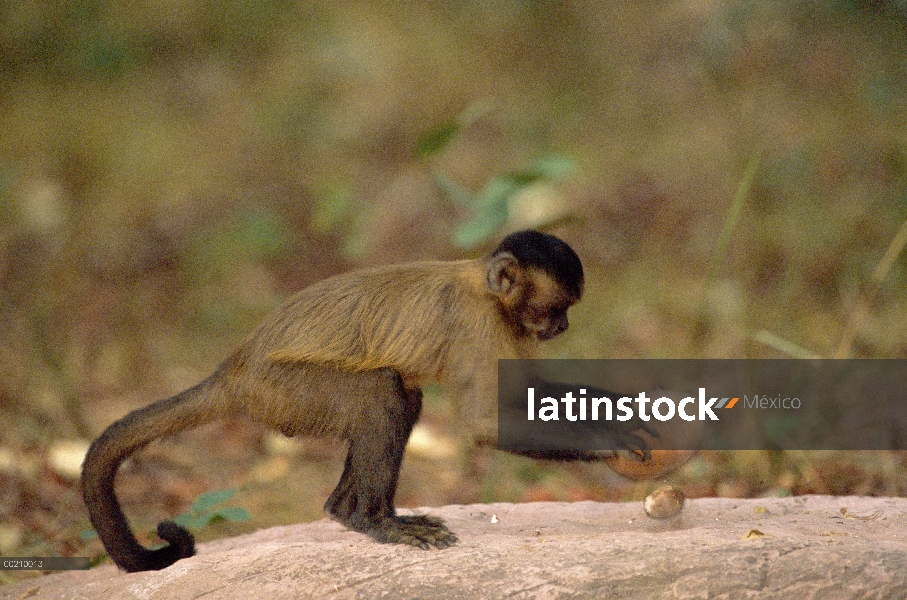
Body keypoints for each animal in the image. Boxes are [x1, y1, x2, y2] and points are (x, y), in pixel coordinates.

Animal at [83, 230, 652, 572]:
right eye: (556, 308)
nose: (564, 326)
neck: (483, 286)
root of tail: (237, 367)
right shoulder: (476, 321)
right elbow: (487, 423)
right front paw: (611, 445)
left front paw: (627, 414)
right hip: (282, 391)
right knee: (384, 392)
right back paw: (373, 521)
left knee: (401, 396)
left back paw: (345, 512)